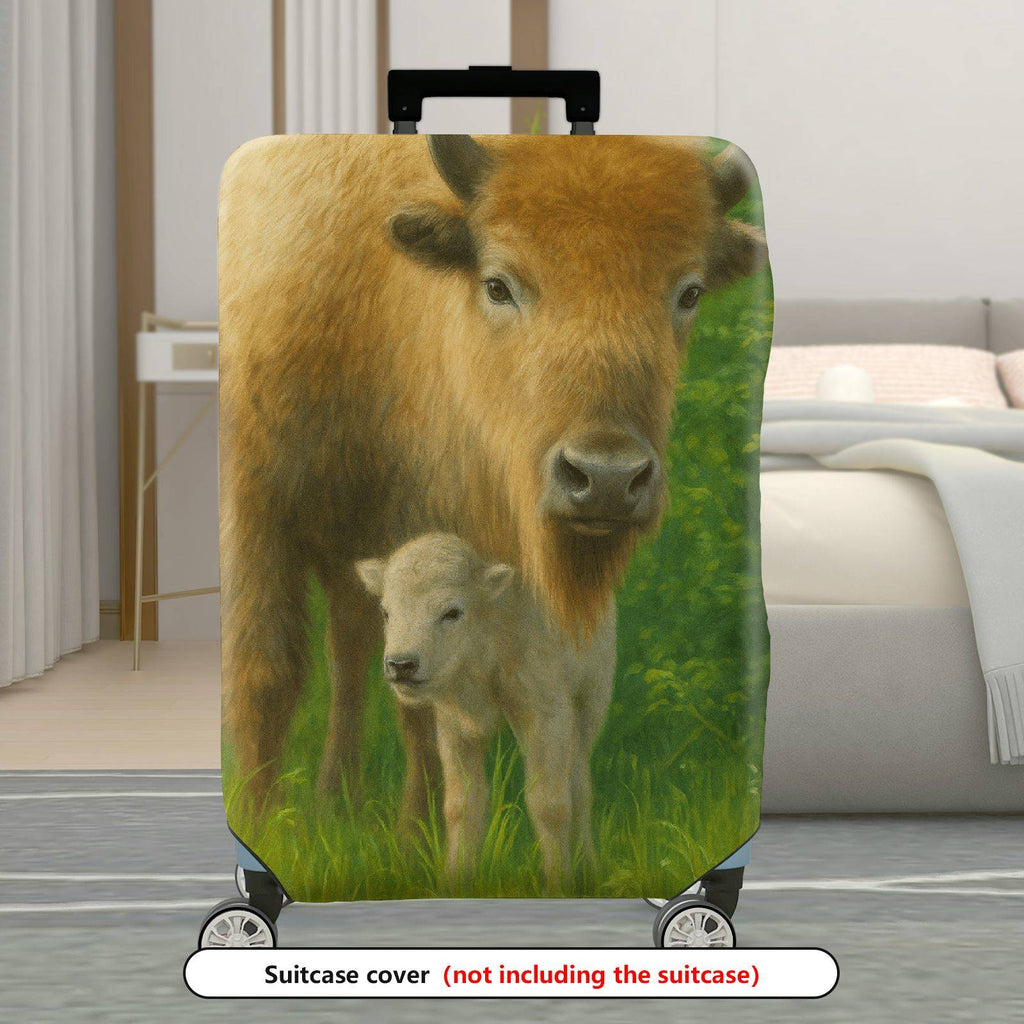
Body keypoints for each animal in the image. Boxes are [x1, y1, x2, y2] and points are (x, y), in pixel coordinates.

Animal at [218, 133, 767, 815]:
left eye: (689, 293)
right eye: (499, 285)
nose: (607, 477)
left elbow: (427, 704)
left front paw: (418, 834)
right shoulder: (258, 513)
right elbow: (265, 675)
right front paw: (260, 819)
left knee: (350, 647)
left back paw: (338, 798)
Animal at [356, 533, 616, 886]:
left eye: (452, 612)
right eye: (385, 611)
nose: (401, 664)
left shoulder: (546, 716)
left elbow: (549, 804)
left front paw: (559, 883)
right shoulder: (455, 728)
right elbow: (462, 805)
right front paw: (454, 880)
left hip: (589, 701)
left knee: (579, 783)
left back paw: (588, 864)